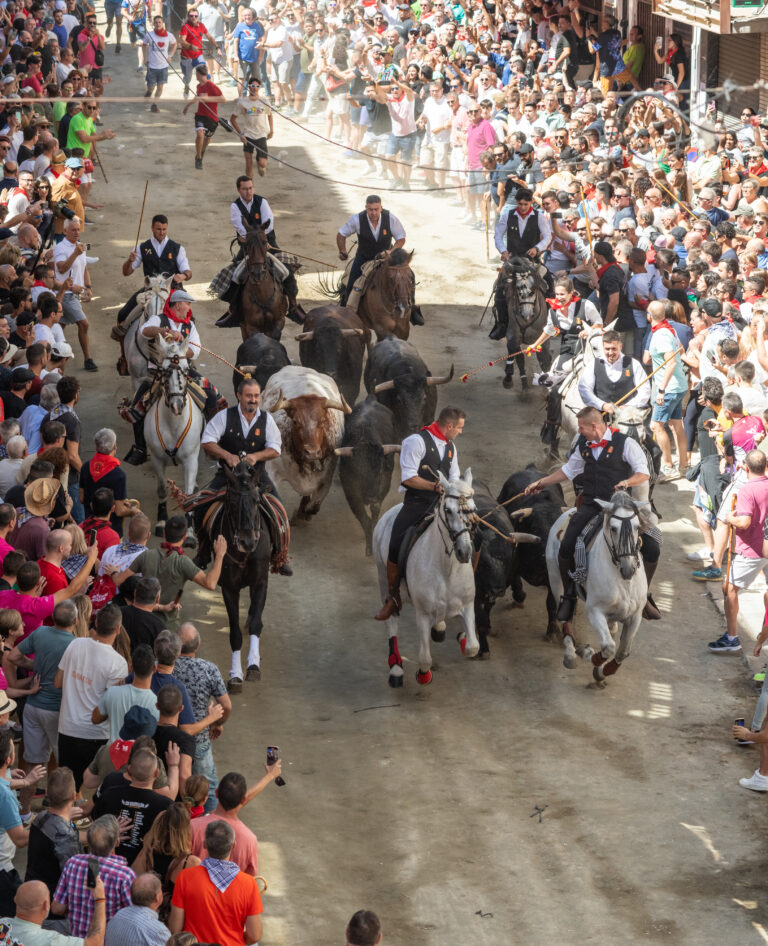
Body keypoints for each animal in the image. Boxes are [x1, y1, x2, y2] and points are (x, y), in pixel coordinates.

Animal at [202, 460, 274, 688]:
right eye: (231, 502)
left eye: (256, 500)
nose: (247, 542)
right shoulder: (228, 588)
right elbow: (234, 634)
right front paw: (235, 674)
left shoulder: (260, 582)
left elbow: (256, 624)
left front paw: (253, 666)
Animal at [260, 366, 352, 520]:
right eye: (295, 421)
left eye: (322, 421)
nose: (312, 452)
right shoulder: (272, 471)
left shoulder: (326, 479)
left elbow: (313, 507)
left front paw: (304, 510)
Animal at [334, 396, 402, 552]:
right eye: (358, 472)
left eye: (380, 471)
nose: (371, 497)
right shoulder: (351, 493)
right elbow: (364, 518)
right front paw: (369, 547)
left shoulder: (383, 487)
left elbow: (375, 513)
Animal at [374, 470, 480, 684]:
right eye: (447, 510)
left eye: (473, 510)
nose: (464, 552)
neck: (447, 569)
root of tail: (388, 514)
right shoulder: (422, 614)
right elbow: (424, 658)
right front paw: (423, 675)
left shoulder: (467, 605)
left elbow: (473, 647)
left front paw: (462, 638)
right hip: (383, 580)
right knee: (391, 620)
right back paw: (395, 667)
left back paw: (439, 628)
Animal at [544, 490, 648, 684]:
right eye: (613, 528)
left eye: (637, 526)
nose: (628, 569)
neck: (622, 581)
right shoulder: (594, 611)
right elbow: (608, 647)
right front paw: (587, 654)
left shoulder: (635, 616)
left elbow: (623, 651)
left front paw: (601, 672)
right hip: (555, 580)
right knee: (565, 614)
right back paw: (570, 654)